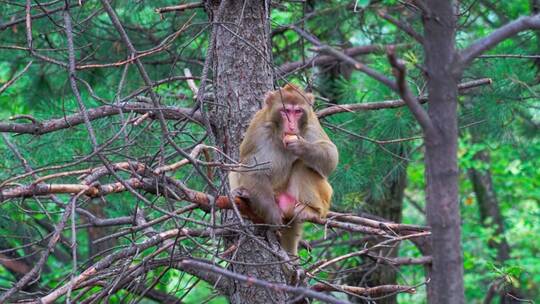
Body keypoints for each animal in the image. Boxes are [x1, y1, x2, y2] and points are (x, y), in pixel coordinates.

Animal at [230, 82, 340, 254]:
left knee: (302, 165)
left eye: (297, 111)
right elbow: (251, 167)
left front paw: (302, 147)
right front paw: (273, 215)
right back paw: (244, 197)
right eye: (285, 111)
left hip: (321, 197)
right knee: (235, 168)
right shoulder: (258, 126)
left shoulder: (312, 123)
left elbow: (330, 155)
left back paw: (312, 211)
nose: (291, 125)